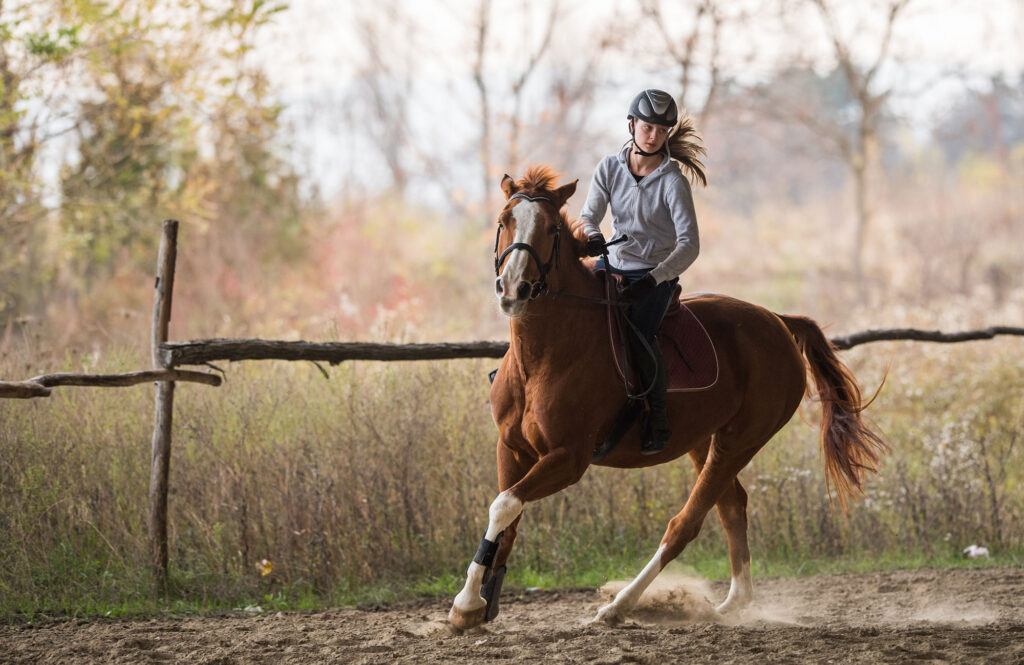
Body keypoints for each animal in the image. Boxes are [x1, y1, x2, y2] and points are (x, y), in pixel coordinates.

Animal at [448, 164, 888, 627]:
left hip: (740, 440)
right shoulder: (512, 446)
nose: (513, 289)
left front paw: (467, 603)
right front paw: (478, 602)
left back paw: (619, 605)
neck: (543, 355)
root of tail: (779, 321)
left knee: (687, 523)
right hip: (703, 441)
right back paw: (733, 602)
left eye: (551, 229)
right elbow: (506, 514)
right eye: (504, 222)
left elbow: (504, 505)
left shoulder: (569, 458)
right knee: (732, 506)